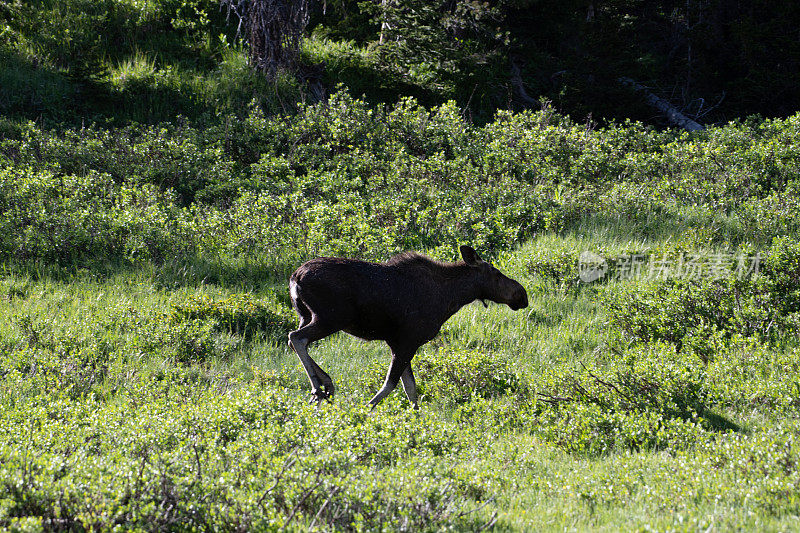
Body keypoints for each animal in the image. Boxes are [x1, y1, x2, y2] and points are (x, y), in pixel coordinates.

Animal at [290, 245, 532, 408]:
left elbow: (410, 388)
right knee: (297, 337)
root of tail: (295, 277)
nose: (522, 295)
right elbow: (391, 385)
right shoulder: (408, 341)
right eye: (496, 273)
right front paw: (364, 412)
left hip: (307, 315)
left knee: (296, 341)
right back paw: (318, 386)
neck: (451, 298)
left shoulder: (398, 343)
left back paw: (325, 384)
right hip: (330, 318)